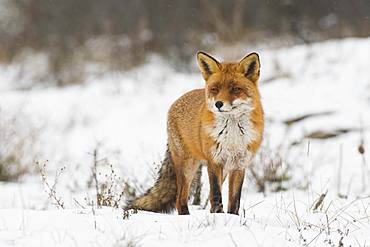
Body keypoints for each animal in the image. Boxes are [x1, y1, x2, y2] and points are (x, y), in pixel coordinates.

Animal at [127, 51, 264, 214]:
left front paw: (231, 217)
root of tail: (177, 101)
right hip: (188, 167)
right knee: (180, 199)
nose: (218, 104)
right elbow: (216, 194)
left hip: (220, 170)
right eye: (215, 89)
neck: (232, 135)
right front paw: (218, 215)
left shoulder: (240, 164)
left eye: (235, 89)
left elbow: (234, 201)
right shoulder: (214, 161)